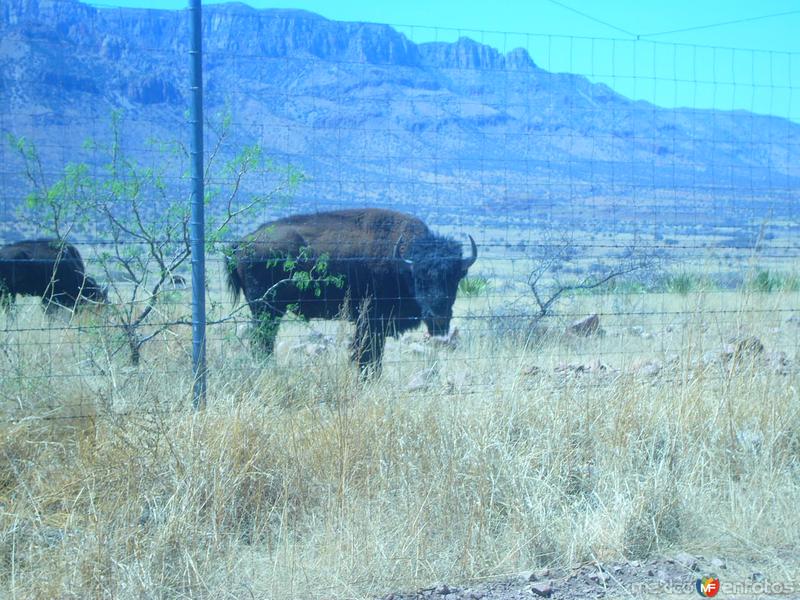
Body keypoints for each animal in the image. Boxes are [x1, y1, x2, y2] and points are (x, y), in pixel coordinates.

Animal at [225, 209, 476, 372]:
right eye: (419, 279)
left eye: (456, 277)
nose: (438, 318)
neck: (402, 262)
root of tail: (242, 243)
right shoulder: (371, 321)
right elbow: (365, 355)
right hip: (266, 310)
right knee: (262, 341)